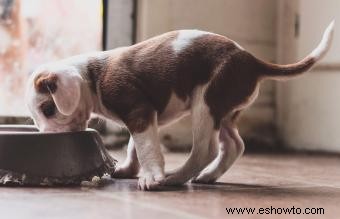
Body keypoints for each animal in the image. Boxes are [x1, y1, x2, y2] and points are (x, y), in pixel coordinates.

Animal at [25, 21, 334, 191]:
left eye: (49, 110)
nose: (45, 137)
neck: (93, 75)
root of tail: (251, 60)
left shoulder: (139, 112)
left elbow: (146, 147)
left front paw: (152, 176)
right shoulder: (146, 116)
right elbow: (134, 145)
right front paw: (128, 169)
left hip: (206, 104)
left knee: (205, 150)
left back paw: (177, 178)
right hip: (224, 112)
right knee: (234, 145)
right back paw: (209, 176)